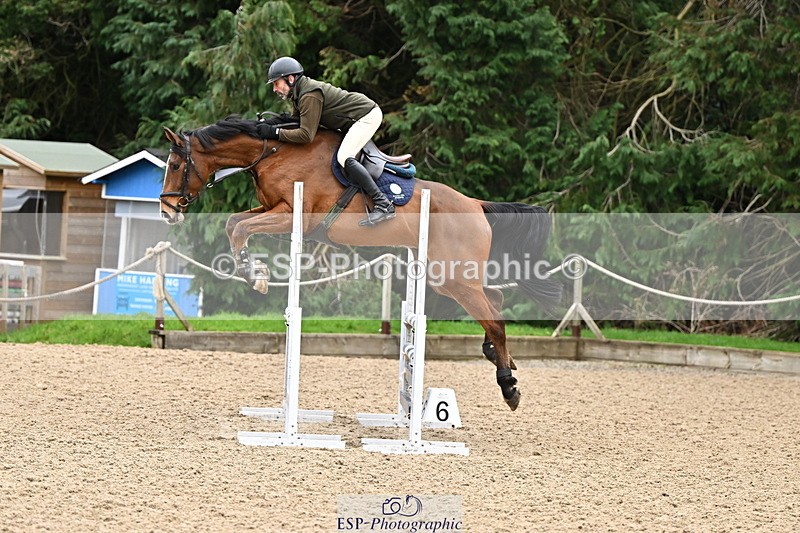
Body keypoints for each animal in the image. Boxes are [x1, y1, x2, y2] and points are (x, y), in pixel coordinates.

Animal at [159, 115, 561, 410]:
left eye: (175, 164)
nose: (166, 210)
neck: (271, 151)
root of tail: (476, 205)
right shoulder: (271, 209)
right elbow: (234, 223)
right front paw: (253, 273)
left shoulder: (292, 215)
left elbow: (240, 227)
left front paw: (253, 275)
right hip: (446, 274)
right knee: (495, 299)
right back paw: (498, 359)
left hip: (453, 276)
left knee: (494, 319)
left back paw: (509, 387)